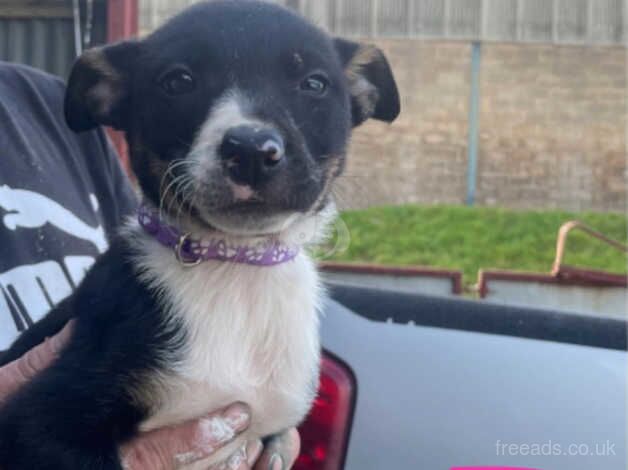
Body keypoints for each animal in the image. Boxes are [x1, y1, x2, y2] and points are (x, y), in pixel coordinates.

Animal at [0, 1, 400, 468]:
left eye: (314, 84)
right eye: (178, 81)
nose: (251, 150)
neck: (235, 264)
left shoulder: (270, 434)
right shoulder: (41, 420)